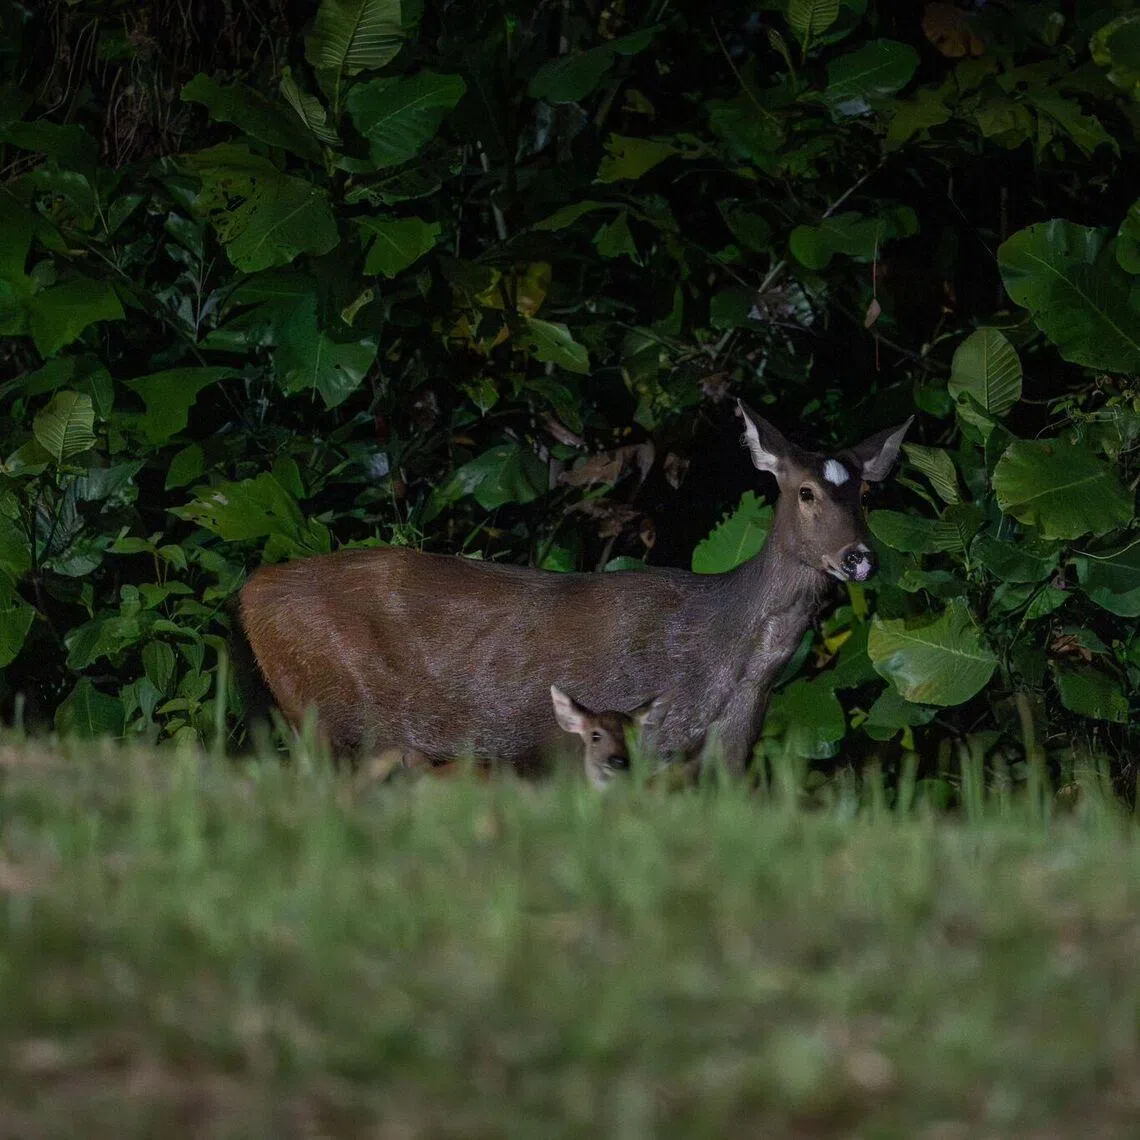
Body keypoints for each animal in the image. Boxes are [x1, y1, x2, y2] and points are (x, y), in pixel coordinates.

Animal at [233, 402, 912, 775]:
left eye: (866, 493)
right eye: (806, 492)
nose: (859, 558)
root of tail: (250, 592)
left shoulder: (729, 745)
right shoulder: (639, 728)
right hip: (321, 709)